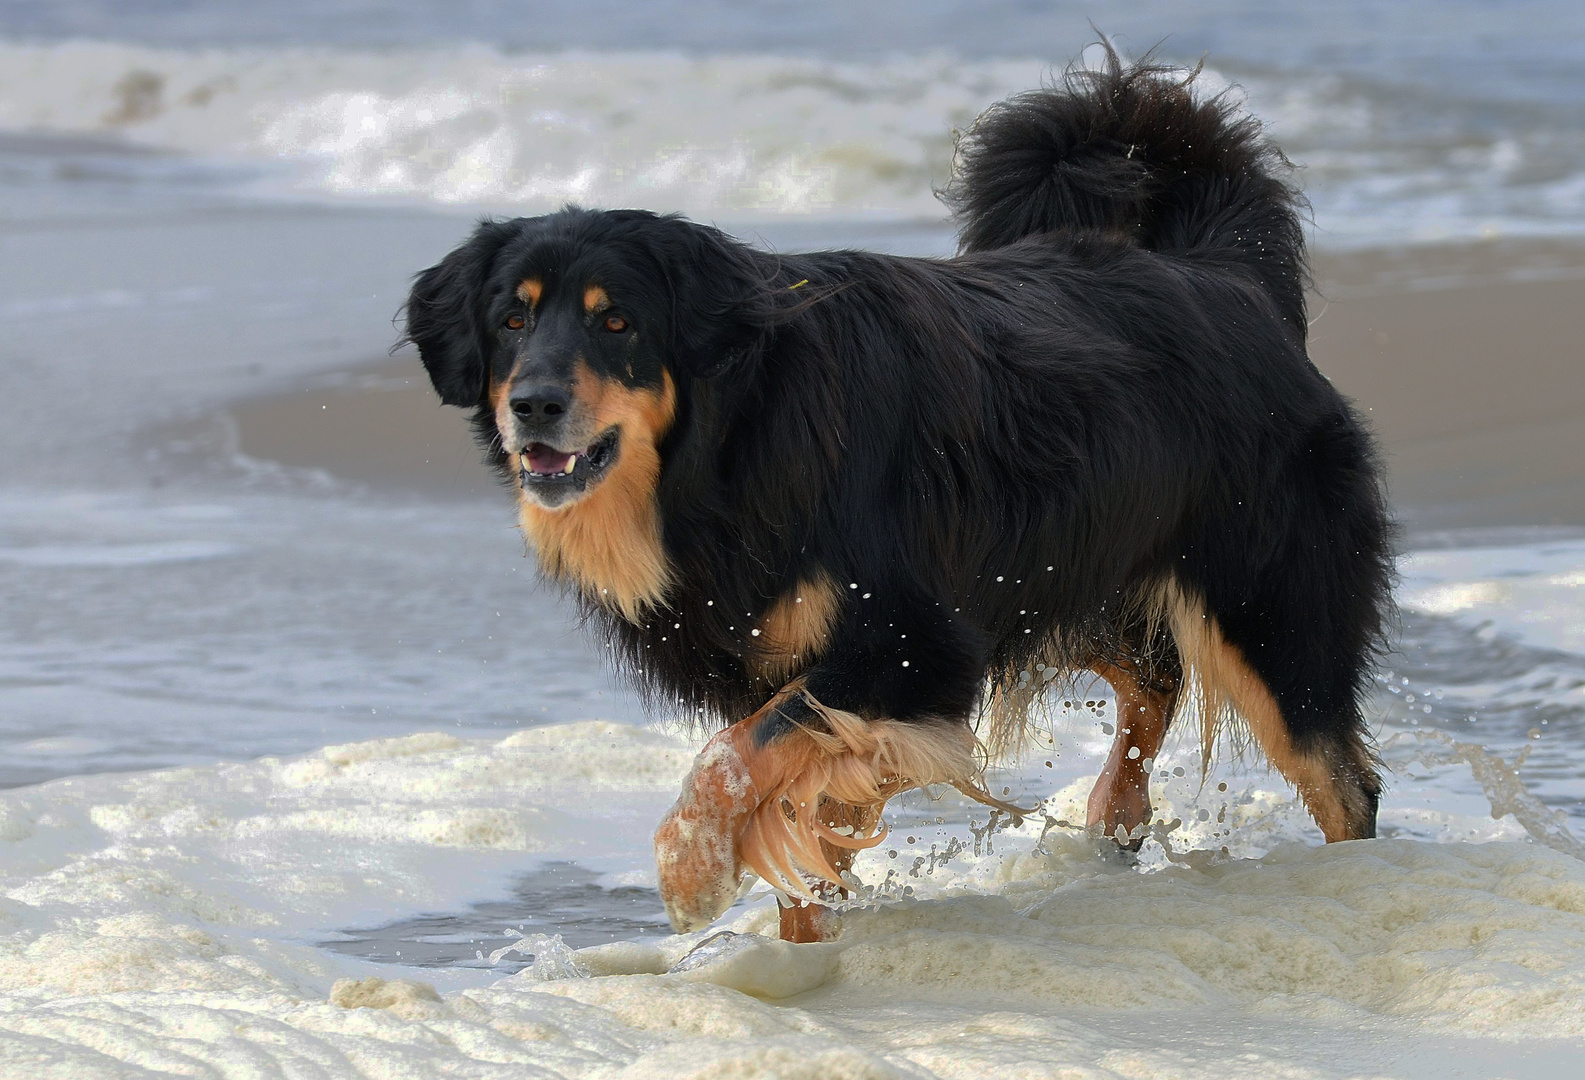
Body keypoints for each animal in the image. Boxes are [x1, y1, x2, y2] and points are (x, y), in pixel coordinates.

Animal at [402, 50, 1394, 938]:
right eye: (511, 318)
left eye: (617, 322)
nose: (533, 405)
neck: (732, 442)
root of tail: (1228, 278)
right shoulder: (821, 657)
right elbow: (790, 797)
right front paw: (799, 949)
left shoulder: (910, 641)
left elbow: (737, 755)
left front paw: (690, 872)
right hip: (1057, 580)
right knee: (1152, 674)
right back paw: (1116, 808)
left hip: (1265, 610)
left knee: (1336, 774)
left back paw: (1355, 885)